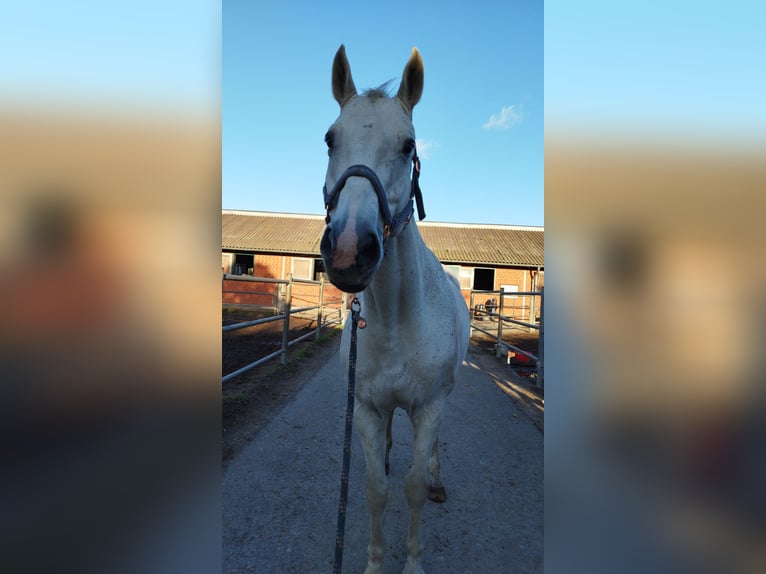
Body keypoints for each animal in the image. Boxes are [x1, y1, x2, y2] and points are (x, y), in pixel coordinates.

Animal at [320, 45, 472, 574]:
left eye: (409, 146)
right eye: (330, 139)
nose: (350, 250)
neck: (393, 319)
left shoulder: (428, 407)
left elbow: (411, 489)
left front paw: (412, 563)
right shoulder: (366, 408)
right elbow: (375, 489)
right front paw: (373, 563)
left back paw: (438, 478)